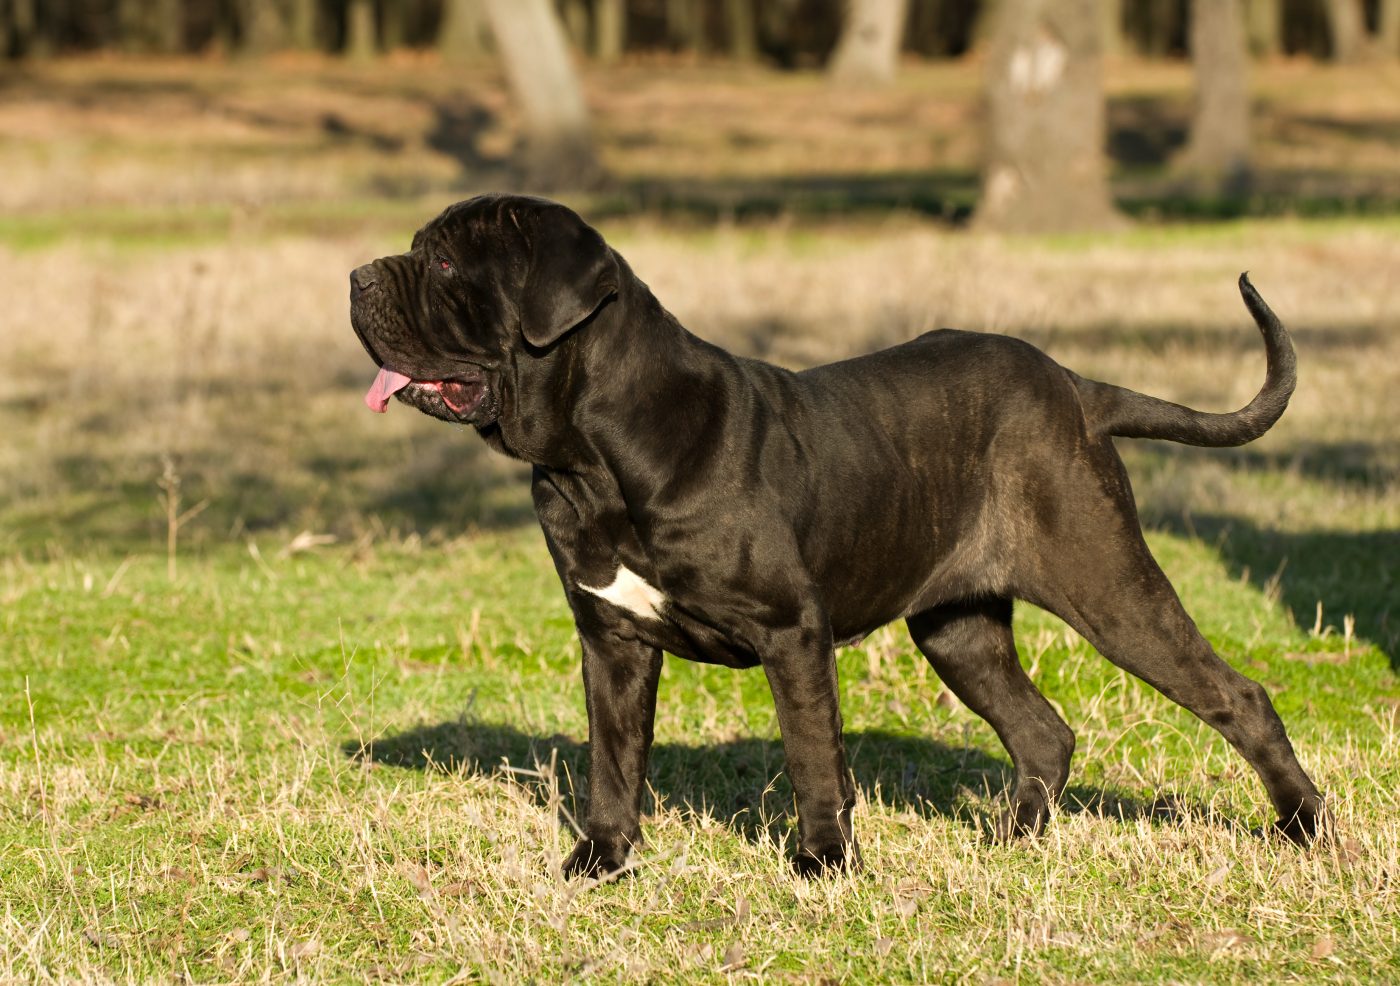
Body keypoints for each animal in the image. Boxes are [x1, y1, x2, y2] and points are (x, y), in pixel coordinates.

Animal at [347, 193, 1321, 879]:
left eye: (443, 262)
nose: (356, 276)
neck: (594, 453)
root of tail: (1078, 387)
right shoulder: (611, 639)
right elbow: (613, 759)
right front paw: (601, 861)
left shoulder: (791, 631)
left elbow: (814, 754)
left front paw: (822, 863)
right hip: (957, 627)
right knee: (1042, 731)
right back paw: (1004, 843)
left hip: (1107, 583)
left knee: (1237, 697)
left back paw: (1305, 828)